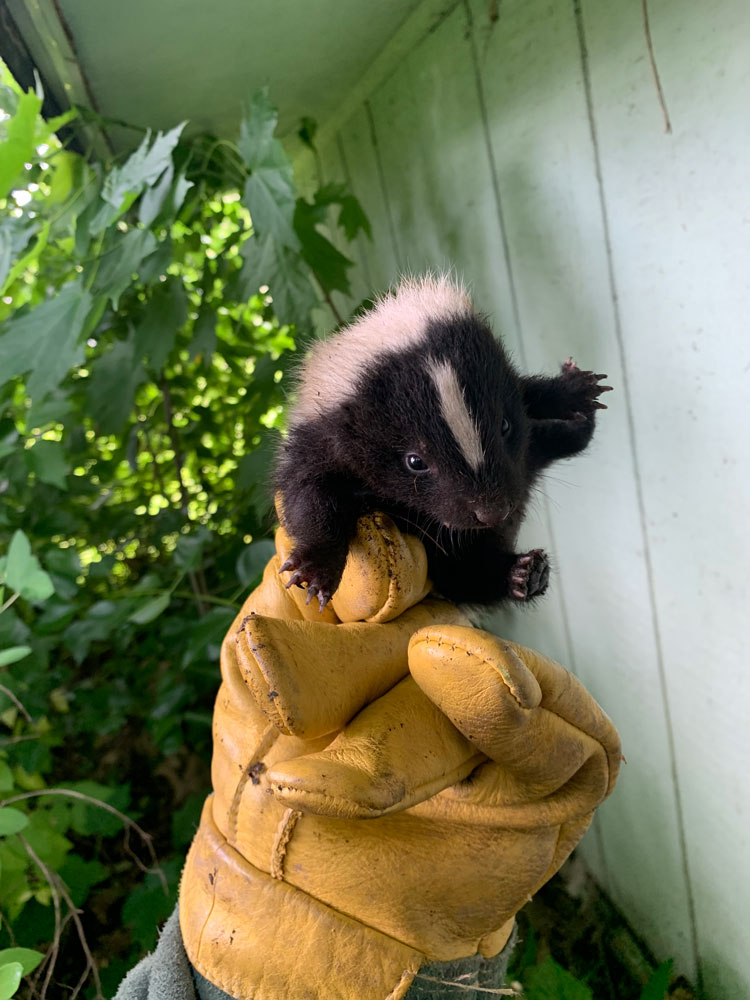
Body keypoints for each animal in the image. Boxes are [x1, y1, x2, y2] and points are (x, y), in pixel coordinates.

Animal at [276, 278, 612, 612]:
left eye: (505, 425)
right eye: (415, 462)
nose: (493, 513)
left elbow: (529, 392)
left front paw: (572, 389)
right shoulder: (320, 436)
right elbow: (307, 492)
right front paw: (317, 567)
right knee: (463, 576)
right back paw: (520, 575)